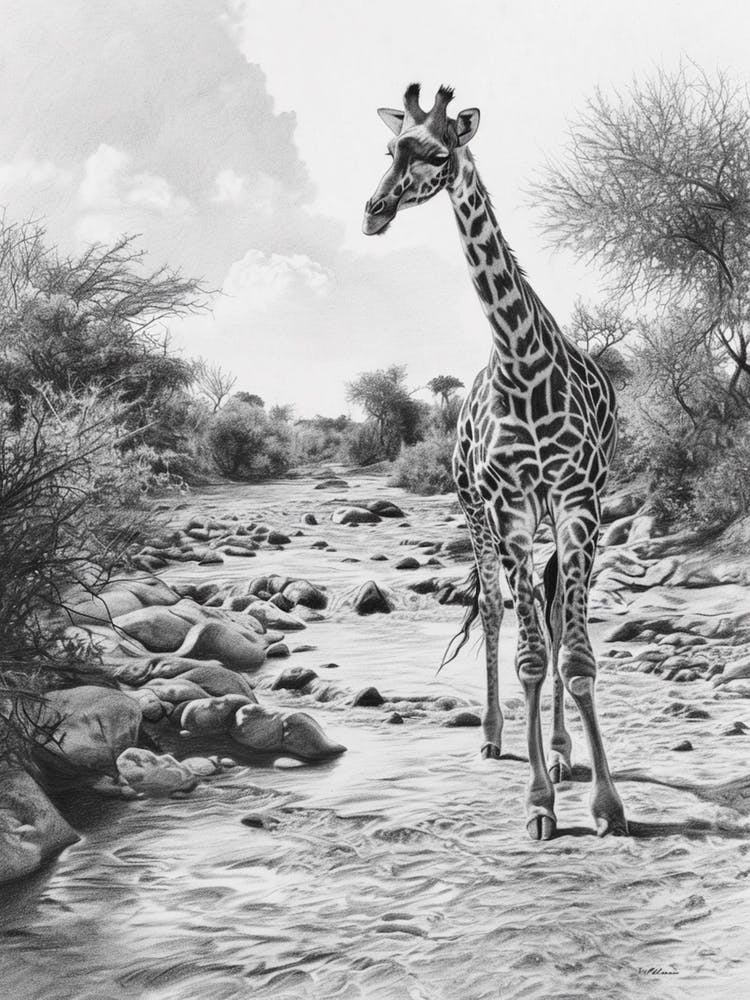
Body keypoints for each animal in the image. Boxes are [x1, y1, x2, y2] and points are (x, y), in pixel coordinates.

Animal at [362, 84, 628, 841]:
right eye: (389, 146)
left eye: (437, 152)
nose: (375, 210)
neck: (520, 356)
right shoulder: (506, 506)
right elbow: (532, 655)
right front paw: (539, 805)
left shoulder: (578, 502)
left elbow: (574, 652)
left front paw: (604, 802)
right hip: (474, 510)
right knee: (490, 605)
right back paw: (491, 735)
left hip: (556, 517)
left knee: (549, 604)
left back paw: (563, 753)